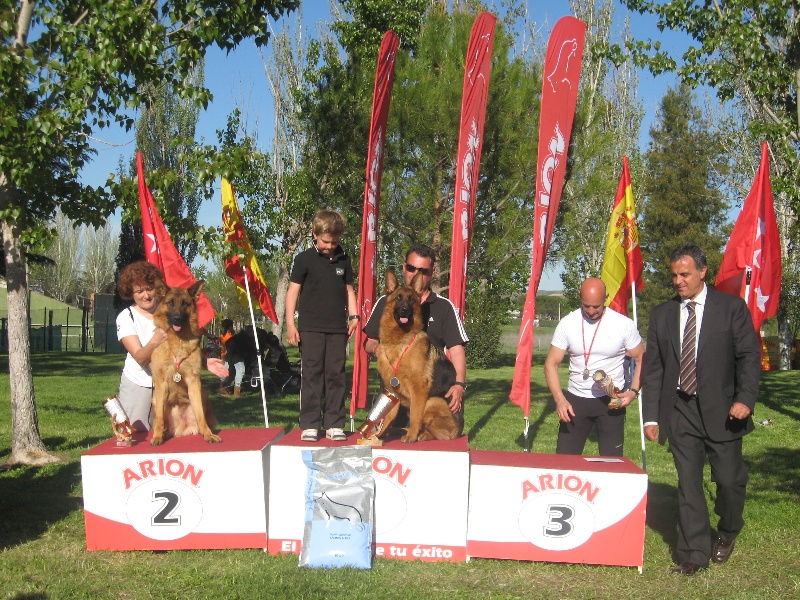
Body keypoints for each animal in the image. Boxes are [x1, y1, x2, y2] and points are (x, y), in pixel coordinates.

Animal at [149, 279, 220, 445]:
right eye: (170, 302)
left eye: (185, 304)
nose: (177, 318)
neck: (178, 342)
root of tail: (181, 429)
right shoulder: (161, 383)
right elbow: (159, 418)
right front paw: (157, 436)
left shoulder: (194, 381)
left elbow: (201, 415)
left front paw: (208, 435)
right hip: (155, 399)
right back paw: (162, 433)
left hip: (203, 394)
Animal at [375, 270, 461, 443]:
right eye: (398, 298)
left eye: (411, 300)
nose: (404, 310)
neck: (400, 341)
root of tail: (459, 431)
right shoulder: (392, 391)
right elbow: (388, 416)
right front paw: (378, 435)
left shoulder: (418, 389)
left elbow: (415, 416)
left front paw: (411, 436)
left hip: (433, 401)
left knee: (438, 434)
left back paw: (421, 435)